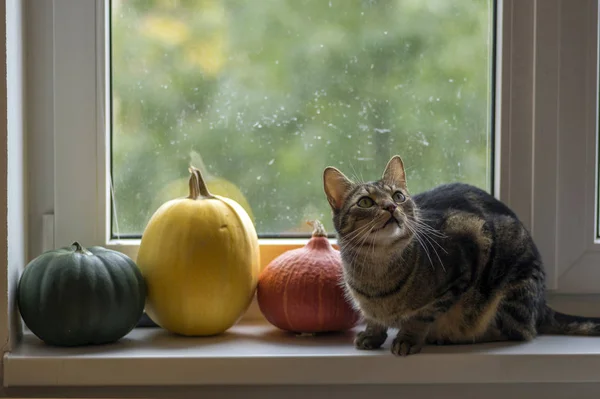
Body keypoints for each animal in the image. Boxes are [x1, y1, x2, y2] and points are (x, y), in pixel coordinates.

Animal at [324, 155, 600, 356]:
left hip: (508, 286)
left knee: (520, 330)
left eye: (398, 196)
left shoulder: (469, 248)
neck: (377, 272)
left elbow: (422, 315)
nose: (391, 207)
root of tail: (543, 304)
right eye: (366, 202)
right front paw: (372, 334)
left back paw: (451, 337)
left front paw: (408, 338)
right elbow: (374, 319)